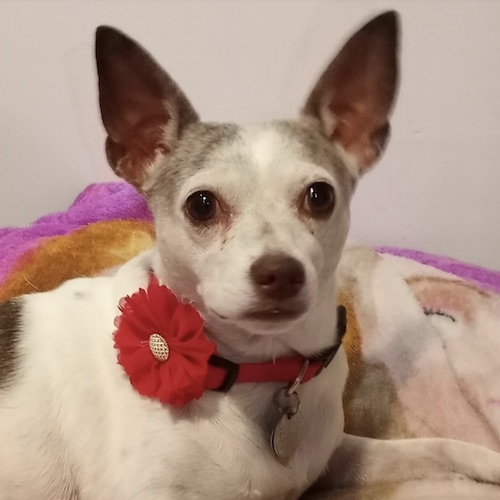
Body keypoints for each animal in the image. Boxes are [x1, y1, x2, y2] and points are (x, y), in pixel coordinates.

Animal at [1, 11, 500, 500]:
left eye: (320, 196)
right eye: (201, 205)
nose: (280, 272)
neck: (255, 371)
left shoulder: (331, 458)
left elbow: (431, 446)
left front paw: (486, 461)